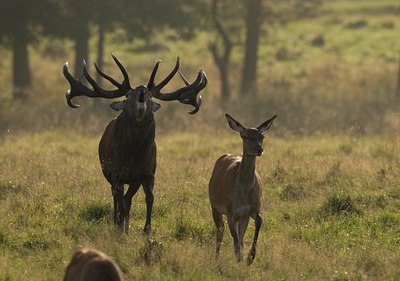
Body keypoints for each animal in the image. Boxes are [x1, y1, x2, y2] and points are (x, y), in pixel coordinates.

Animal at [208, 112, 276, 264]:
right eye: (245, 136)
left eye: (262, 137)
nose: (259, 149)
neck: (243, 194)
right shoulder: (231, 211)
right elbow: (235, 241)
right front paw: (240, 260)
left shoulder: (252, 208)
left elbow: (258, 222)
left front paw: (250, 257)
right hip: (214, 206)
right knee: (220, 231)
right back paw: (216, 258)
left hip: (242, 217)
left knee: (240, 237)